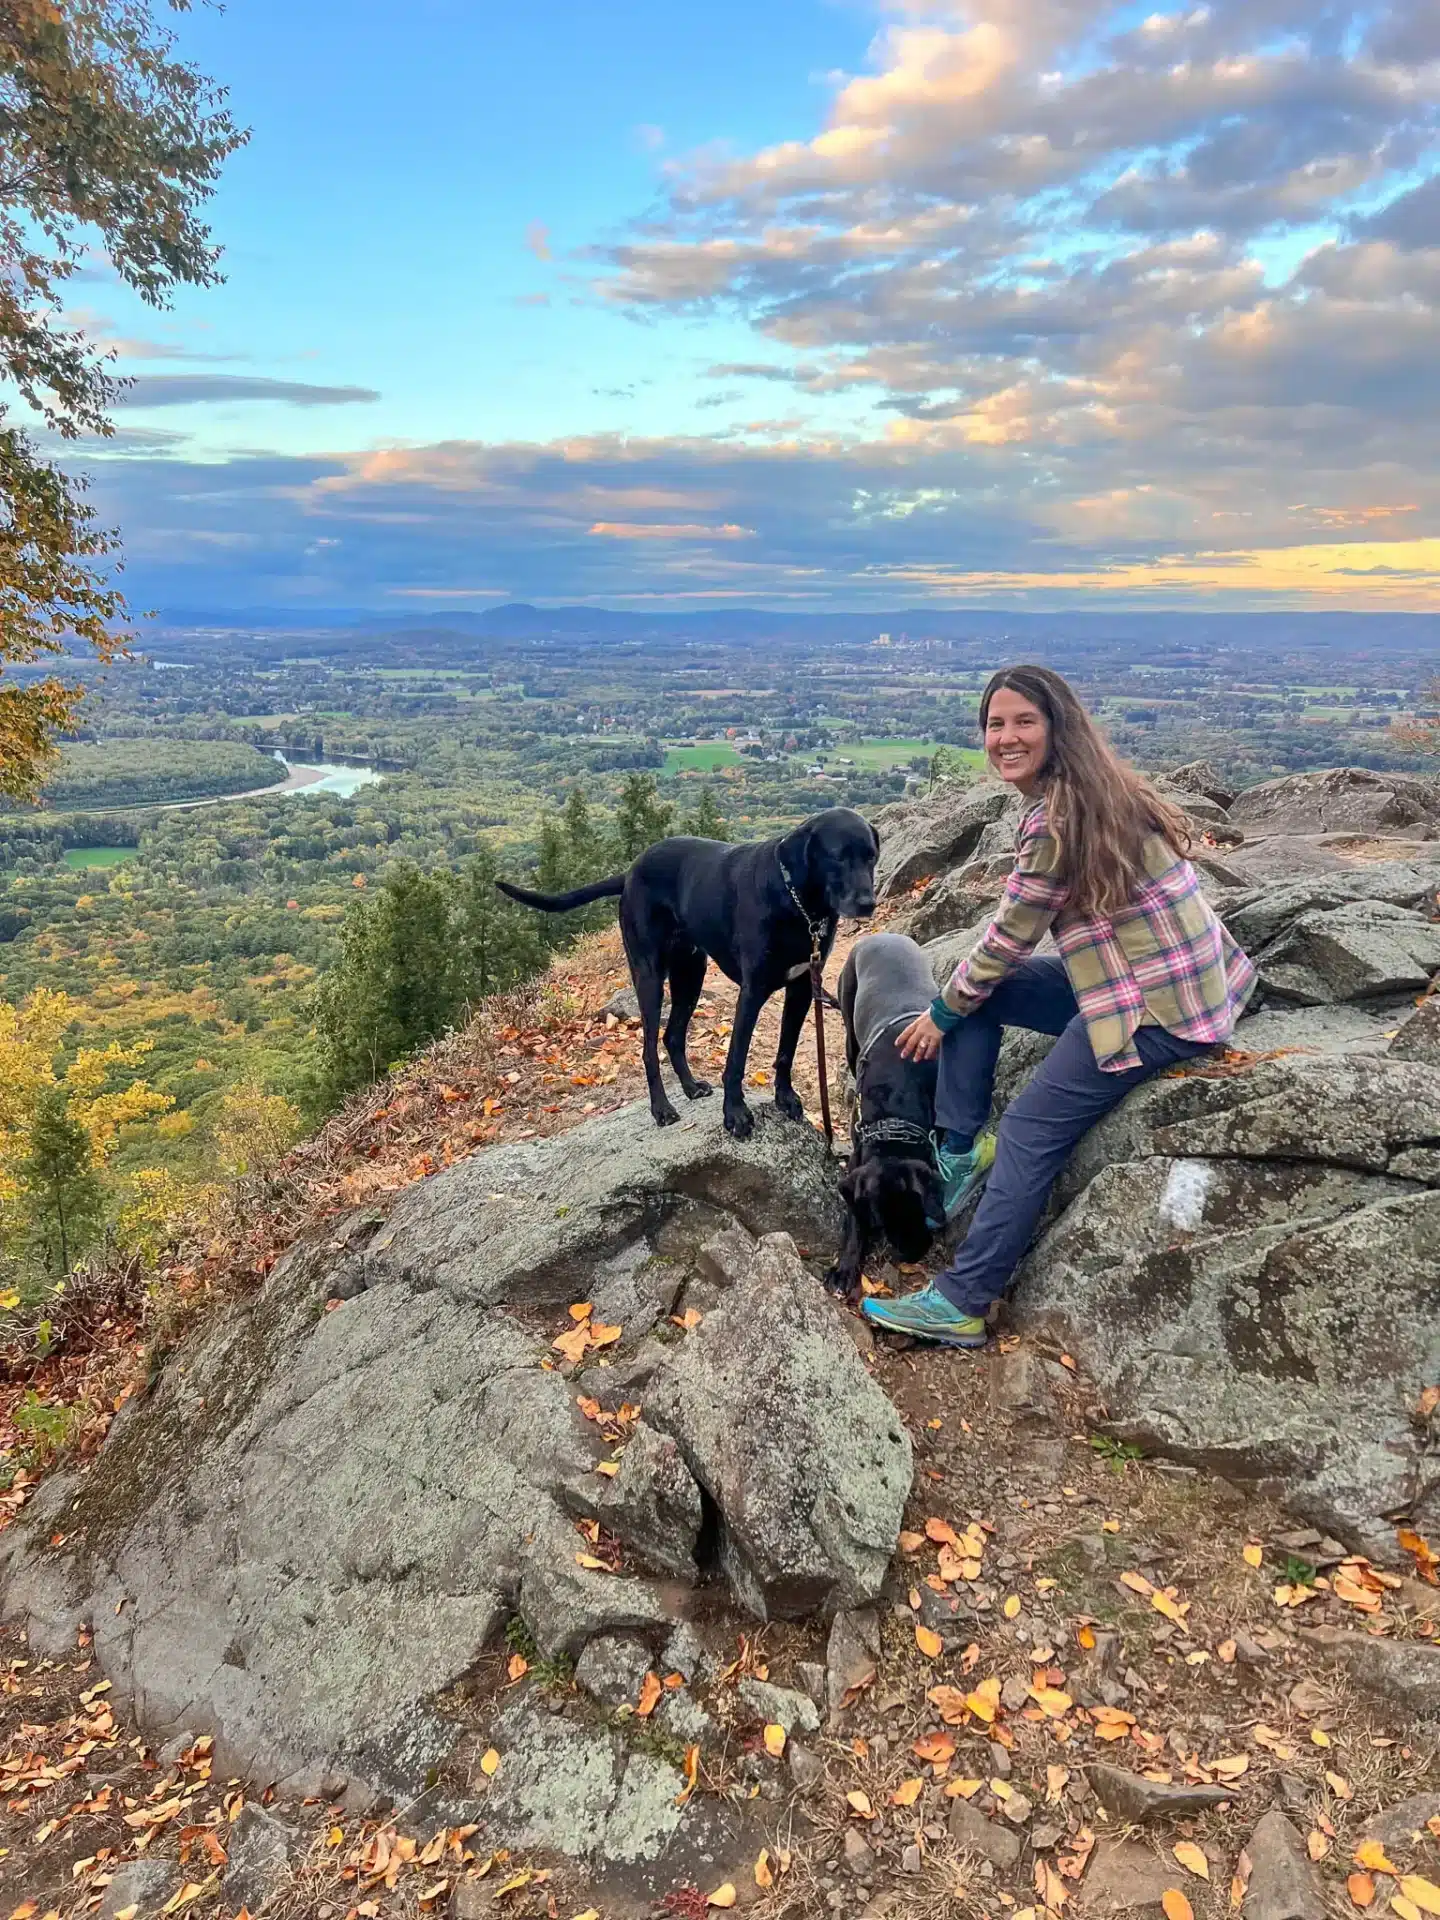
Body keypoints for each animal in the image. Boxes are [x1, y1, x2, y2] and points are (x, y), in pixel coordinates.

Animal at [495, 810, 879, 1136]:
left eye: (872, 856)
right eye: (838, 856)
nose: (867, 904)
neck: (797, 901)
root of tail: (631, 871)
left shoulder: (801, 987)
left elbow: (786, 1050)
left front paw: (784, 1098)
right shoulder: (752, 991)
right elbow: (736, 1058)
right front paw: (735, 1114)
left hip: (690, 975)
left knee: (672, 1037)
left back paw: (691, 1087)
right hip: (649, 977)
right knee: (650, 1048)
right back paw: (662, 1109)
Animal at [821, 933, 948, 1297]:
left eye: (918, 1208)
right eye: (880, 1221)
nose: (914, 1252)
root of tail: (882, 935)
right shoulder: (857, 1161)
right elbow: (853, 1222)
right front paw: (845, 1268)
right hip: (849, 1029)